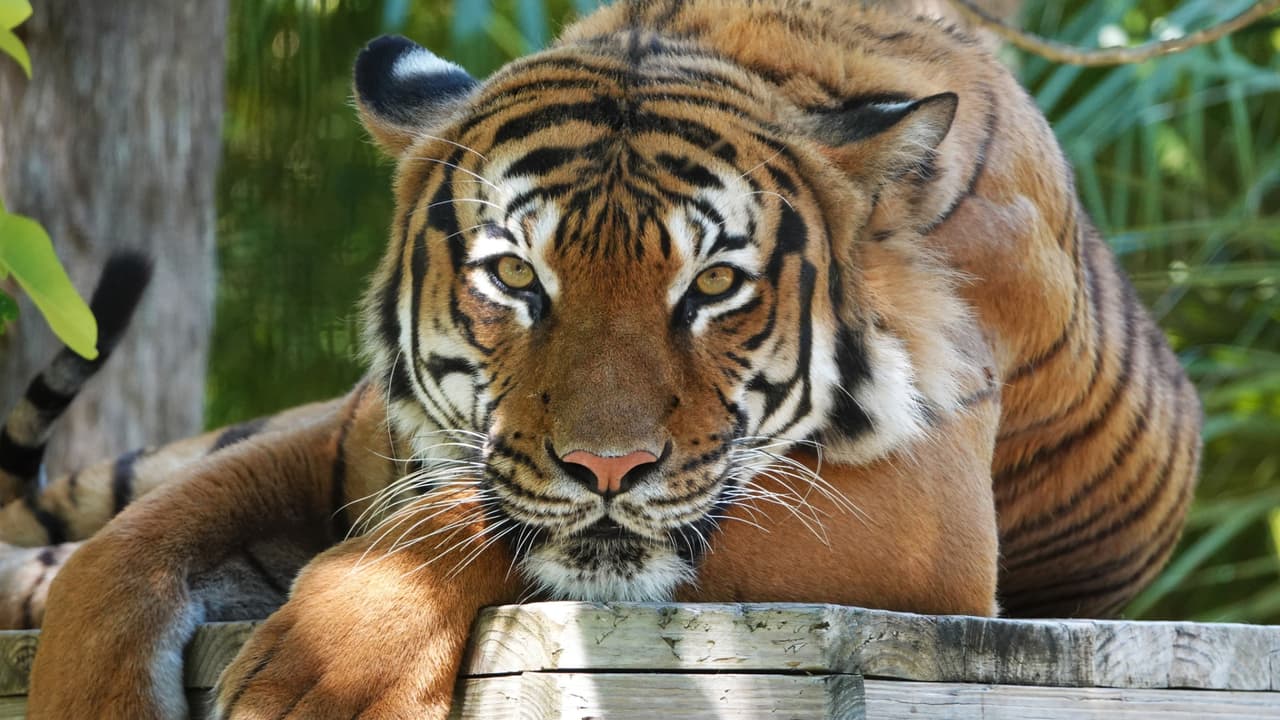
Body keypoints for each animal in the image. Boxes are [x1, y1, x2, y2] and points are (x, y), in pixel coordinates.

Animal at [9, 0, 1200, 717]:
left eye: (712, 286)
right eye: (513, 276)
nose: (608, 470)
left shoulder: (925, 522)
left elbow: (460, 523)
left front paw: (325, 676)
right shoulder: (349, 442)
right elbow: (125, 552)